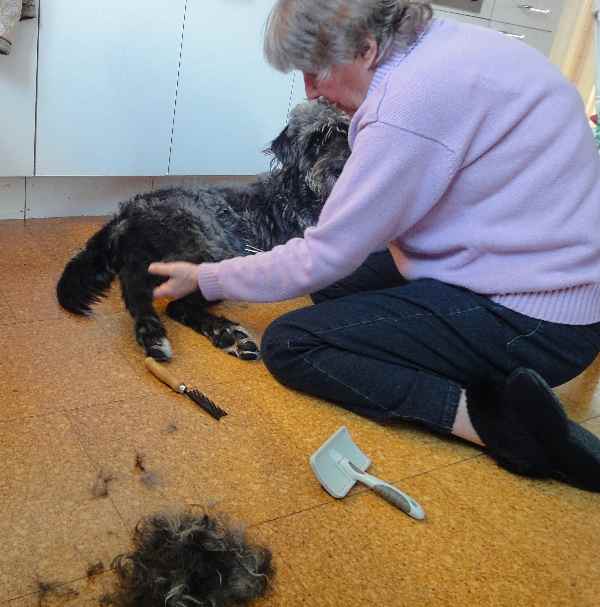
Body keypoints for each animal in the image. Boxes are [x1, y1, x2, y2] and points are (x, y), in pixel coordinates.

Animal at [56, 100, 351, 361]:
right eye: (316, 140)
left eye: (348, 131)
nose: (341, 168)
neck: (305, 194)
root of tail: (125, 214)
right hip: (210, 253)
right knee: (170, 302)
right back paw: (205, 334)